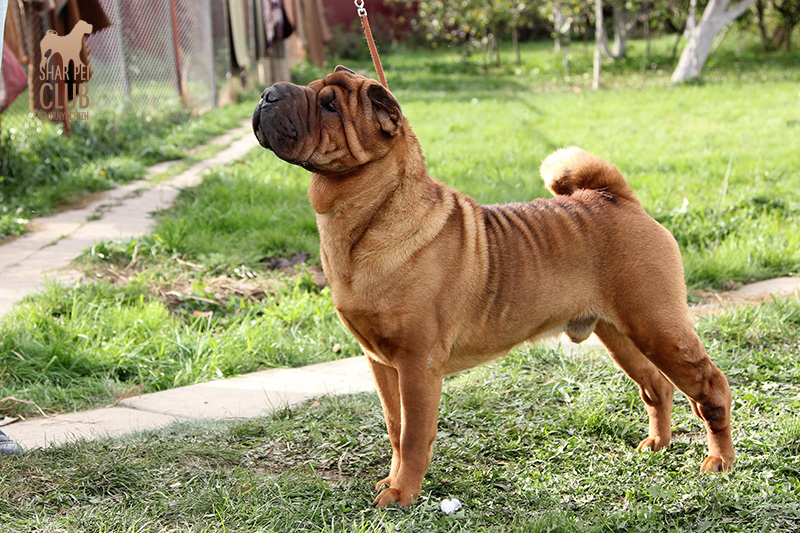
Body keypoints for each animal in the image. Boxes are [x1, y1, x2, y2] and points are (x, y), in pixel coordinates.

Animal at [252, 66, 735, 507]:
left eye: (330, 105)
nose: (268, 92)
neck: (369, 216)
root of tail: (617, 198)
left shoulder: (418, 363)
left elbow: (414, 434)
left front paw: (403, 494)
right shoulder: (380, 362)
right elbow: (395, 427)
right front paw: (391, 480)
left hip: (658, 326)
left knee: (710, 387)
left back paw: (720, 461)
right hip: (620, 334)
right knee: (657, 385)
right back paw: (658, 444)